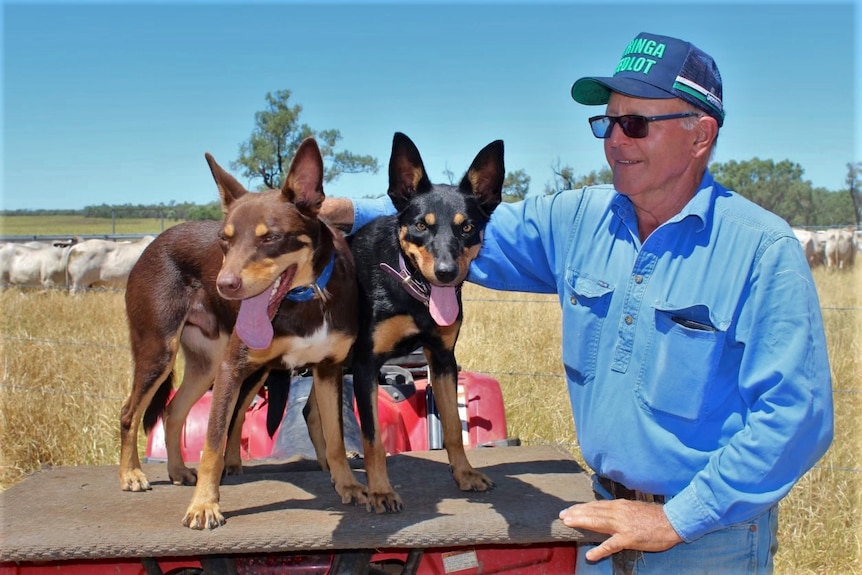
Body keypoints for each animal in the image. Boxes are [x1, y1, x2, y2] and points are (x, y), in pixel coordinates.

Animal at [118, 137, 368, 528]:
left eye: (272, 238)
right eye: (225, 239)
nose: (224, 285)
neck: (306, 297)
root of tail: (153, 243)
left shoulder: (328, 370)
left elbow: (336, 440)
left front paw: (348, 486)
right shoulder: (232, 367)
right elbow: (213, 443)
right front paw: (204, 505)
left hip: (205, 366)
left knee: (173, 411)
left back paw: (177, 470)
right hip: (160, 353)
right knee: (129, 413)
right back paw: (131, 474)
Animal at [348, 134, 502, 512]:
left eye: (467, 227)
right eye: (421, 225)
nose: (446, 273)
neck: (411, 288)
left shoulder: (443, 359)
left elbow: (453, 426)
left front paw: (464, 473)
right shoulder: (364, 364)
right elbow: (373, 439)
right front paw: (380, 490)